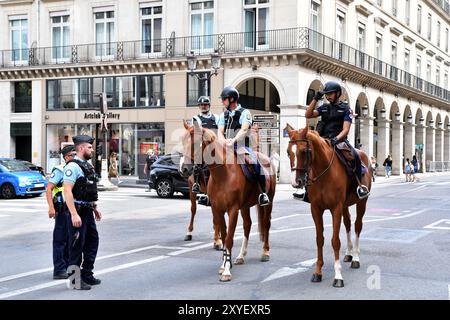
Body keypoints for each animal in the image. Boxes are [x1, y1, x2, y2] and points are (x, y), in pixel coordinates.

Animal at [179, 121, 274, 282]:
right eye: (183, 141)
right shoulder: (217, 208)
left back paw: (265, 253)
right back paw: (241, 256)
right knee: (247, 225)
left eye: (195, 143)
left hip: (269, 202)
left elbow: (229, 238)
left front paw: (227, 271)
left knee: (266, 225)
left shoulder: (233, 210)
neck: (223, 173)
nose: (183, 169)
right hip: (245, 206)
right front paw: (224, 264)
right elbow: (224, 236)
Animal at [286, 123, 370, 288]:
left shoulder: (335, 208)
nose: (296, 182)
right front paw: (318, 272)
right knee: (348, 224)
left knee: (357, 226)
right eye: (287, 152)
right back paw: (349, 254)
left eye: (304, 151)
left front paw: (338, 276)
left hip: (361, 202)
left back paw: (356, 258)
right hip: (345, 205)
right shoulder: (316, 209)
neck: (323, 172)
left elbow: (335, 241)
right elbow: (320, 239)